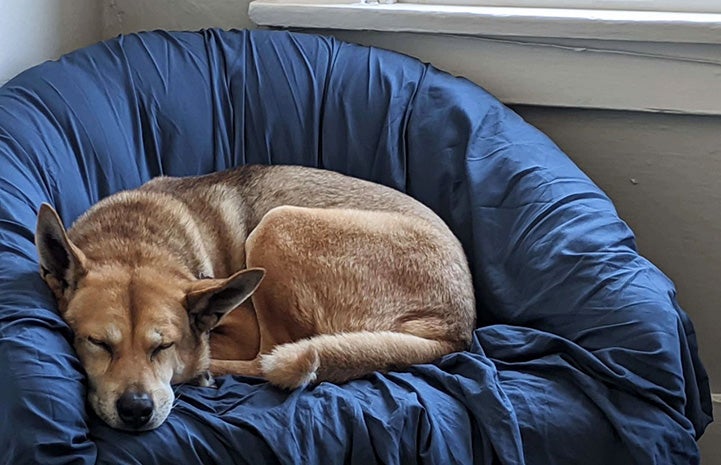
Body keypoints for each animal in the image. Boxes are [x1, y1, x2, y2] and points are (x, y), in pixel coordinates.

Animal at [33, 165, 476, 430]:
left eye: (164, 346)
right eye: (97, 343)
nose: (136, 411)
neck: (133, 243)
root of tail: (456, 327)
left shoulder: (238, 325)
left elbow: (214, 348)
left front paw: (197, 365)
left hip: (278, 225)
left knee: (269, 354)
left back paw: (208, 372)